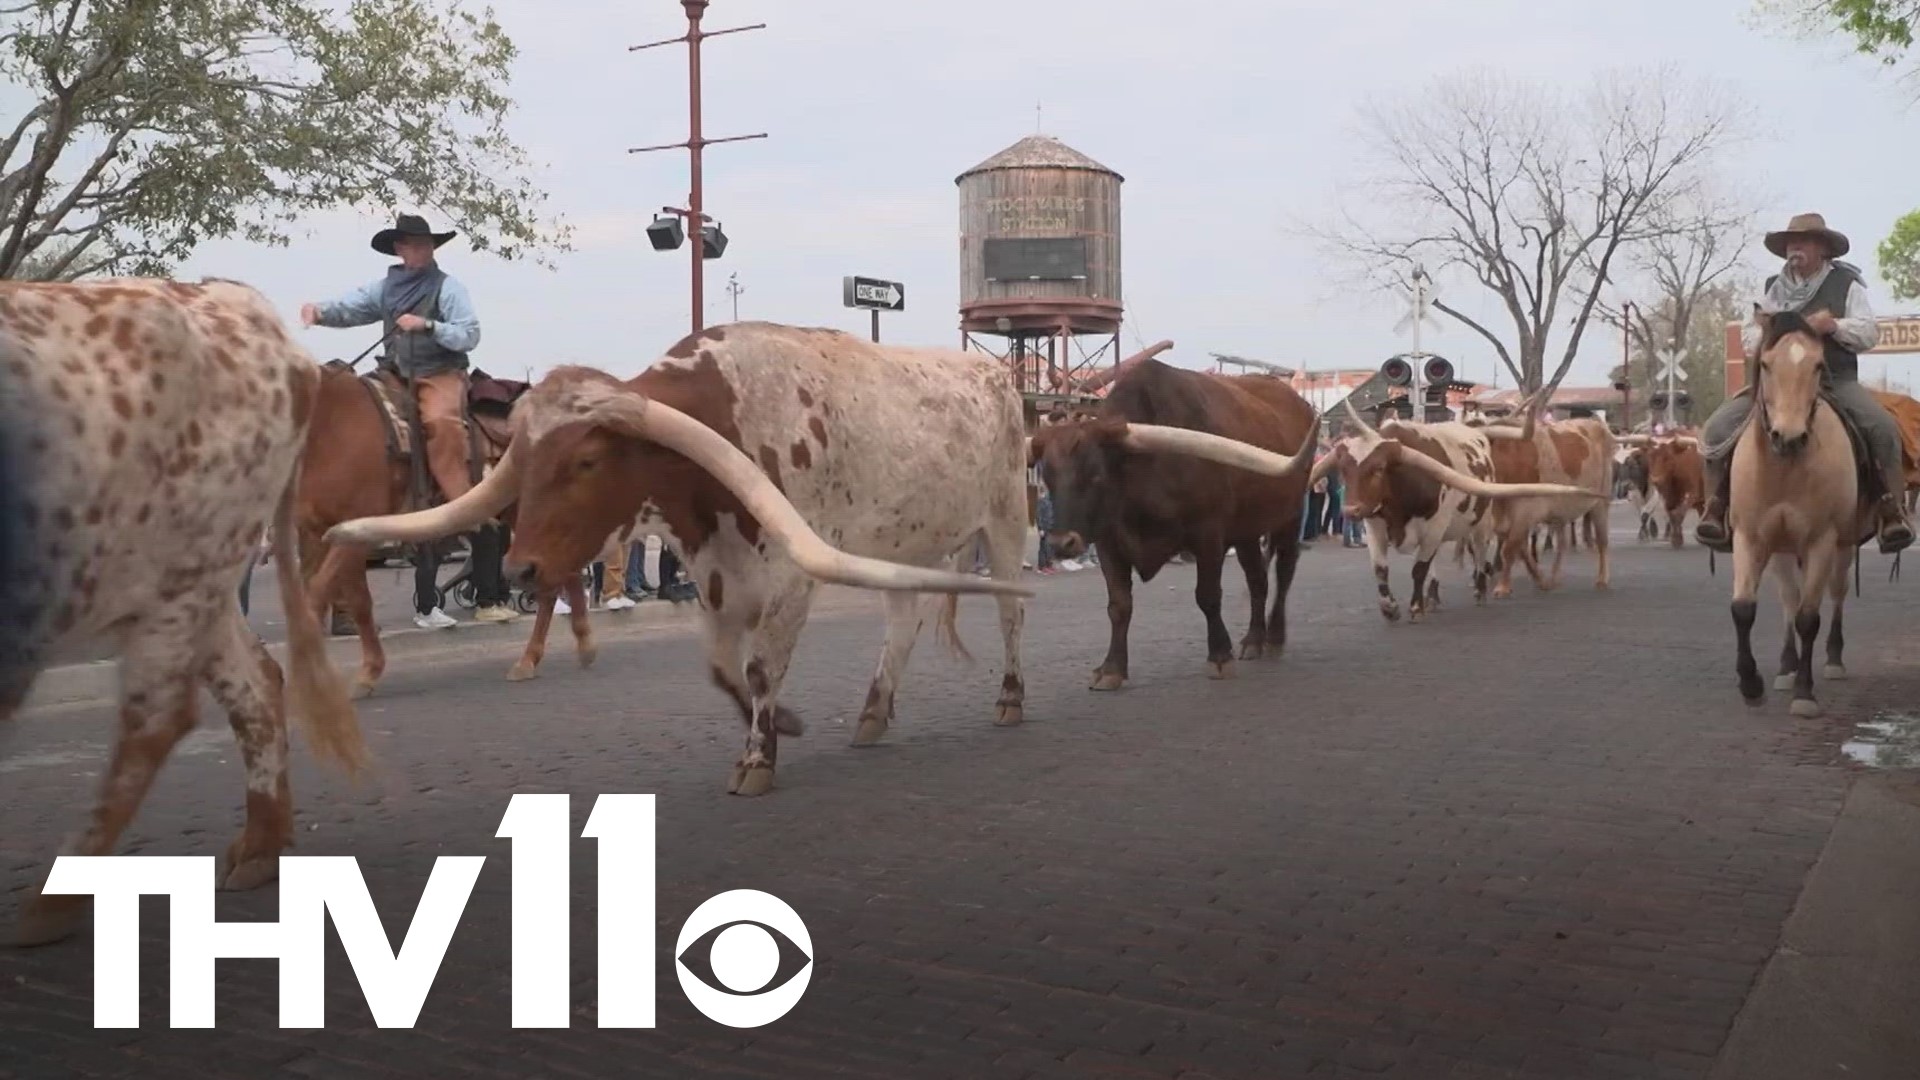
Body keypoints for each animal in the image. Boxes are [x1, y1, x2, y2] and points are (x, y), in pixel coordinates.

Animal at [291, 361, 587, 699]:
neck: (331, 424)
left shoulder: (353, 528)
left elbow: (319, 596)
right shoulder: (321, 534)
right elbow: (354, 600)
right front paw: (365, 673)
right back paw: (546, 653)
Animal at [1728, 311, 1873, 714]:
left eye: (1818, 365)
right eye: (1765, 364)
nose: (1789, 437)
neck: (1785, 470)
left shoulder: (1821, 541)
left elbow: (1810, 618)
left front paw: (1805, 694)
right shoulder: (1749, 537)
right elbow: (1743, 608)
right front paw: (1751, 684)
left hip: (1841, 547)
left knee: (1835, 593)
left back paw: (1833, 660)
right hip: (1780, 548)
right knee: (1789, 600)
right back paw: (1786, 667)